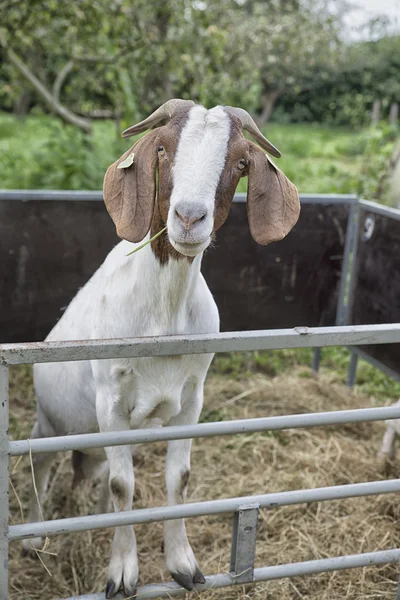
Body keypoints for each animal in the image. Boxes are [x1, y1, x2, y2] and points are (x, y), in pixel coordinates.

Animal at [25, 98, 300, 596]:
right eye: (162, 150)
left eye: (240, 163)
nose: (189, 218)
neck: (164, 316)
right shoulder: (111, 402)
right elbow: (124, 485)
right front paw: (122, 573)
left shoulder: (191, 400)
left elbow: (176, 478)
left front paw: (183, 564)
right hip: (52, 422)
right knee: (41, 465)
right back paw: (33, 537)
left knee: (96, 478)